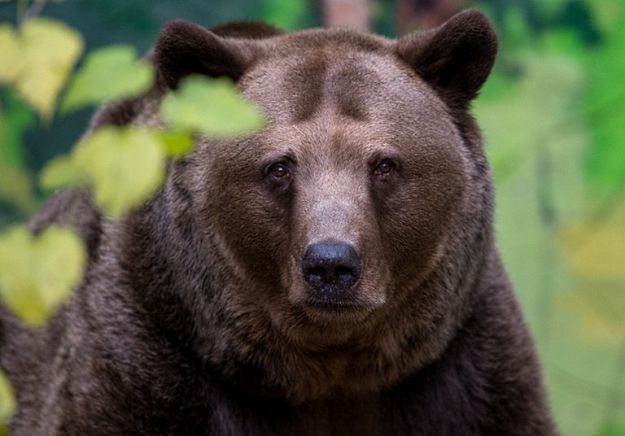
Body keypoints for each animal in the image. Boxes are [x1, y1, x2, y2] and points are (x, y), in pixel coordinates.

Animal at [0, 10, 556, 436]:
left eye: (384, 164)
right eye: (279, 166)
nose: (331, 264)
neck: (327, 373)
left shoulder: (461, 367)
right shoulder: (146, 349)